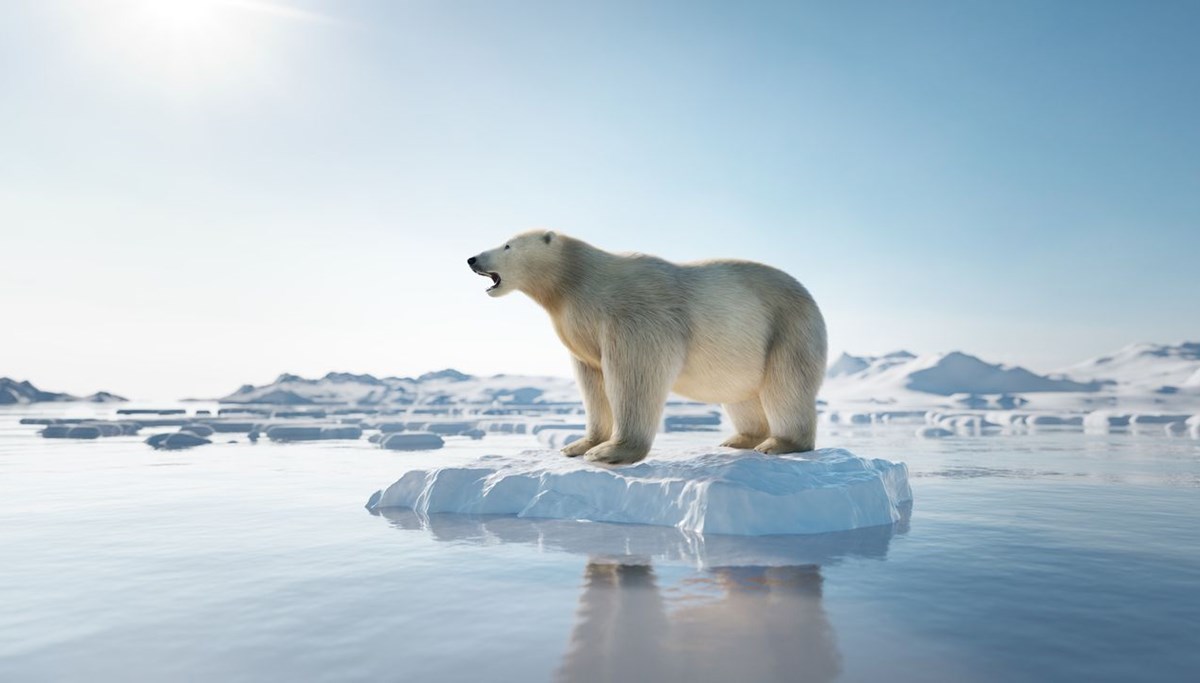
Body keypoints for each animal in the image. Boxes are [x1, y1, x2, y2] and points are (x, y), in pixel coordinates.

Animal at [465, 232, 825, 463]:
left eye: (507, 244)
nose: (472, 258)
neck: (576, 281)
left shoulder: (634, 314)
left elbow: (634, 374)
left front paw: (609, 452)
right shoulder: (581, 330)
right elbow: (592, 381)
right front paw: (579, 444)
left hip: (788, 329)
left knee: (786, 386)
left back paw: (779, 443)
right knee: (741, 394)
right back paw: (739, 439)